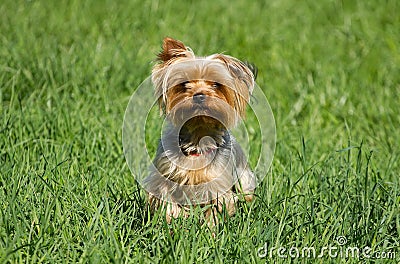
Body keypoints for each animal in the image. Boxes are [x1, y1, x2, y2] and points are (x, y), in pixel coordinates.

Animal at [144, 36, 256, 223]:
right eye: (184, 84)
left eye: (216, 85)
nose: (199, 95)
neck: (197, 135)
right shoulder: (164, 176)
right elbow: (167, 202)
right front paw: (174, 221)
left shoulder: (216, 183)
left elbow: (215, 209)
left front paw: (209, 229)